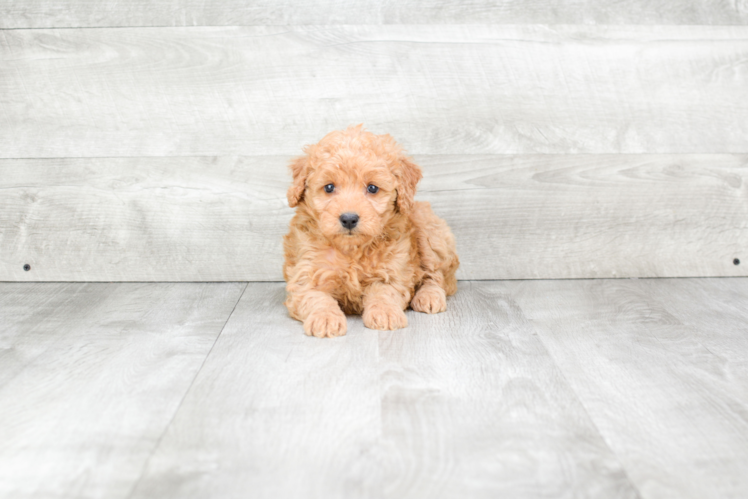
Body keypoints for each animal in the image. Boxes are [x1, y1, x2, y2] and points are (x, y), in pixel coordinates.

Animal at [280, 125, 456, 338]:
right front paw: (326, 318)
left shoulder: (392, 272)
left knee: (436, 275)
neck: (352, 250)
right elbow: (316, 297)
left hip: (429, 229)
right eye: (329, 187)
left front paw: (386, 312)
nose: (349, 218)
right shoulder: (307, 274)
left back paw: (429, 296)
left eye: (372, 188)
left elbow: (384, 293)